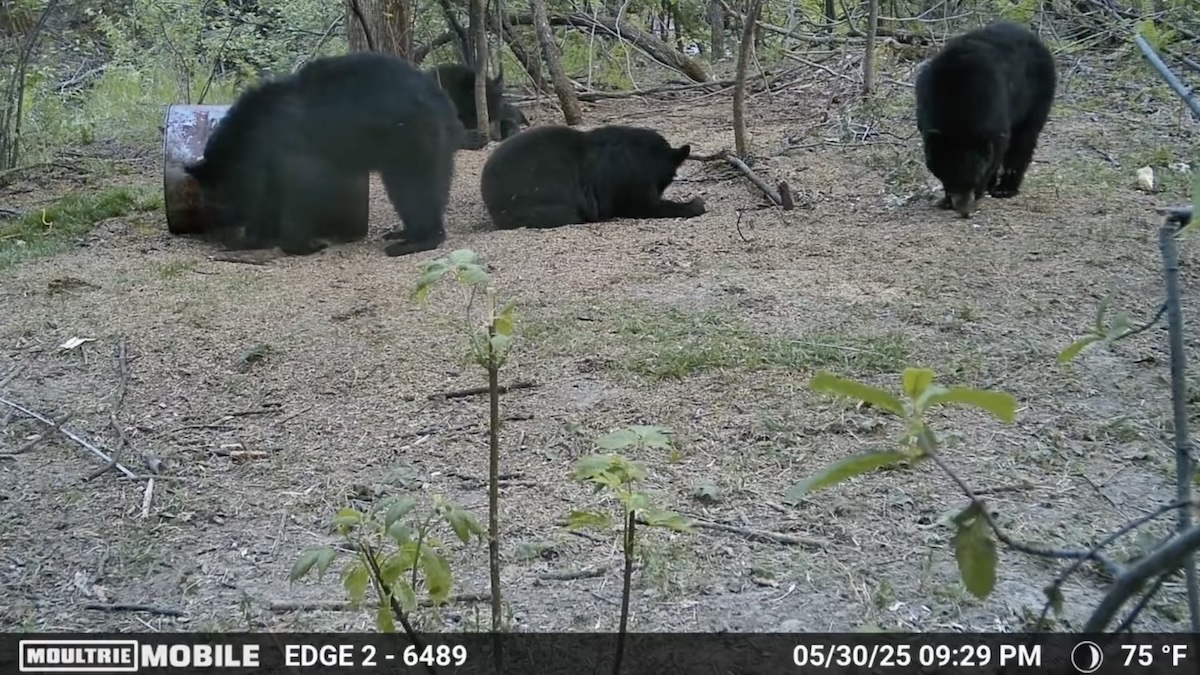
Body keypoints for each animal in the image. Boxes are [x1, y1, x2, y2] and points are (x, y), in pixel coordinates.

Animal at [184, 51, 463, 257]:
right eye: (207, 203)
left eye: (218, 201)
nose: (222, 234)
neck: (256, 134)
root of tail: (443, 100)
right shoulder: (269, 166)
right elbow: (269, 198)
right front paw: (255, 238)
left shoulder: (293, 150)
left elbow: (304, 188)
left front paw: (304, 244)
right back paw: (405, 233)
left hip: (410, 138)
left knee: (413, 187)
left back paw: (415, 241)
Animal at [479, 124, 706, 230]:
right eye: (664, 182)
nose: (658, 190)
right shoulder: (631, 179)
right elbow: (644, 206)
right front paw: (694, 204)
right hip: (537, 204)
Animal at [914, 21, 1057, 217]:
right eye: (947, 177)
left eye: (974, 178)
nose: (965, 211)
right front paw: (946, 200)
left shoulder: (993, 109)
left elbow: (997, 149)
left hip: (1036, 93)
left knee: (1024, 138)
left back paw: (1006, 188)